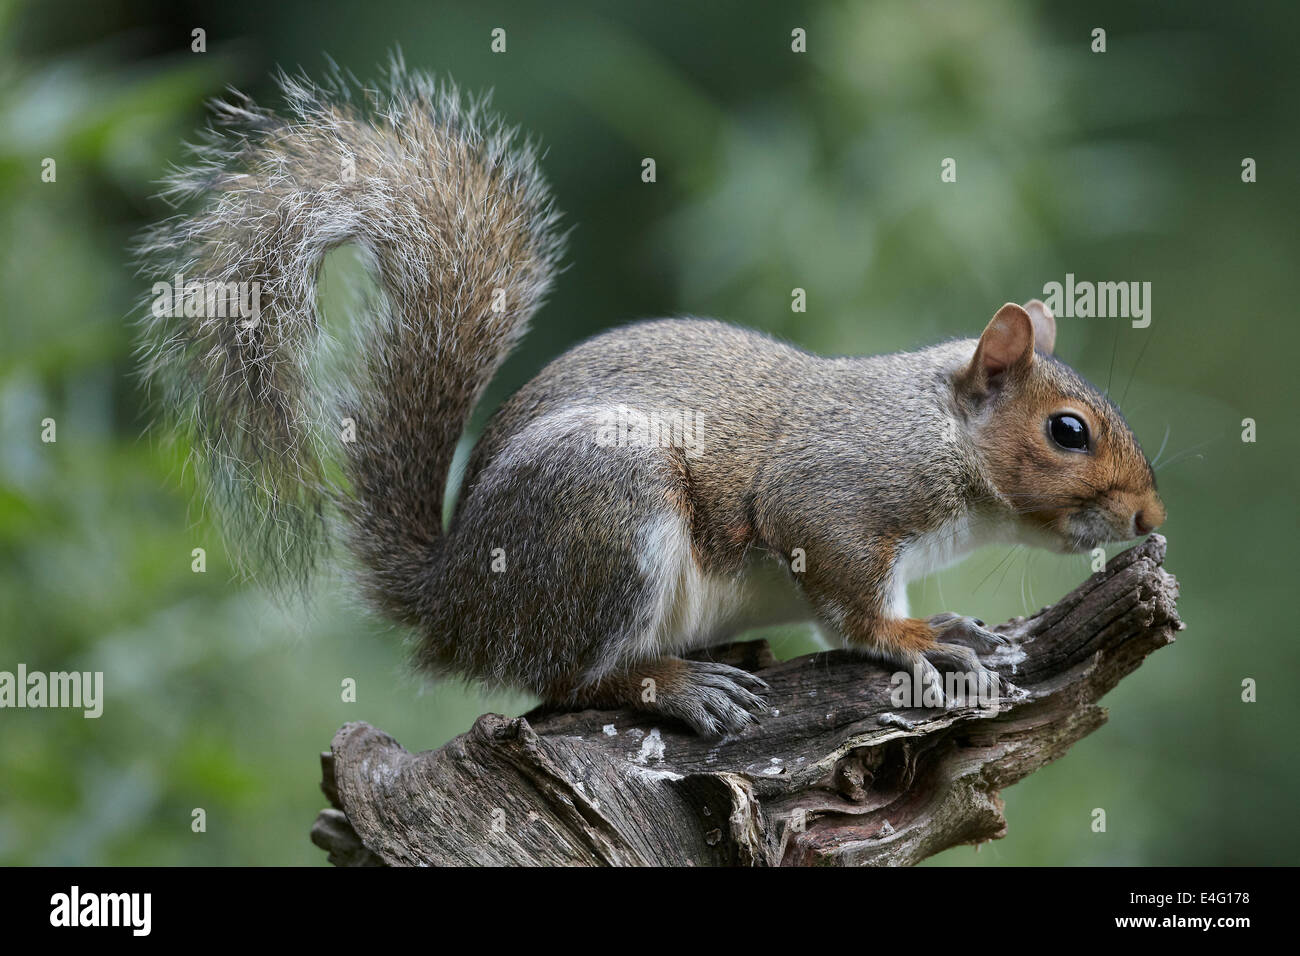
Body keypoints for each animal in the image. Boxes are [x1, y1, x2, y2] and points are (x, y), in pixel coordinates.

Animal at [139, 61, 1170, 738]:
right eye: (1068, 432)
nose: (1151, 518)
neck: (942, 429)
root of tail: (453, 601)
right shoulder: (835, 494)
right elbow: (850, 596)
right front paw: (917, 639)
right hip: (606, 511)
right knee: (561, 680)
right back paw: (673, 687)